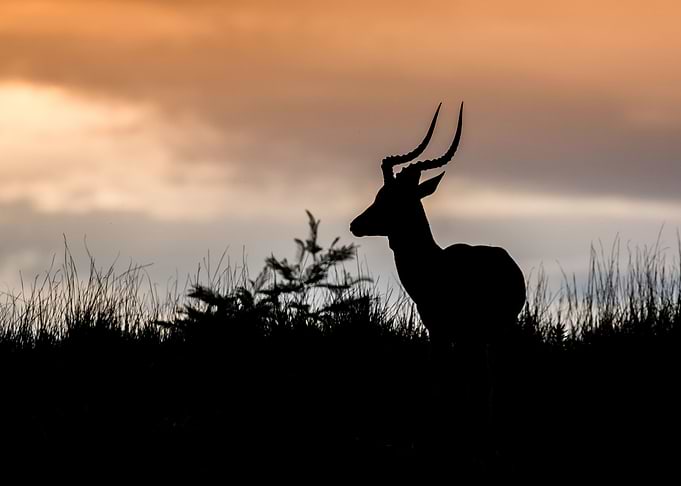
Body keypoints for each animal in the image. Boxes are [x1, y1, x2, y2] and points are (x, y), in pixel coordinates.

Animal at [350, 103, 526, 462]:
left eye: (392, 198)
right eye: (379, 193)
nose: (356, 224)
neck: (434, 267)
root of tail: (505, 261)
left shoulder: (449, 332)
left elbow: (445, 380)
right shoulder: (437, 330)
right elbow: (440, 377)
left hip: (482, 335)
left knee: (483, 379)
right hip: (487, 336)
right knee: (485, 378)